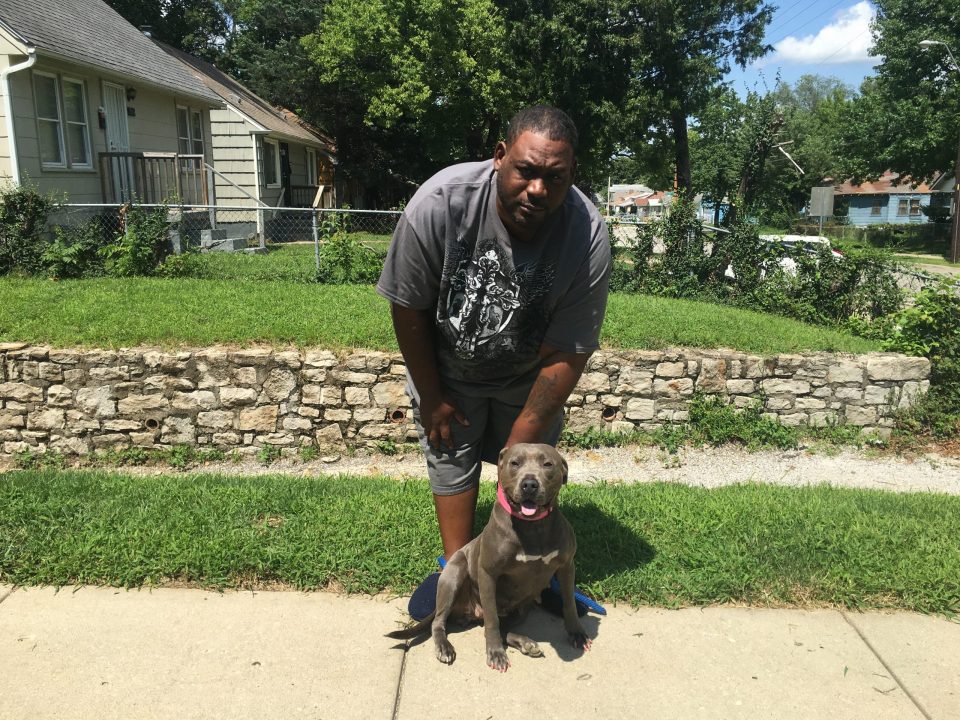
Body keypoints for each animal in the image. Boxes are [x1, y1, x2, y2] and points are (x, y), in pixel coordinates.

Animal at [386, 442, 588, 672]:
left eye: (547, 464)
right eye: (514, 463)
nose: (529, 484)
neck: (532, 527)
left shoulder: (566, 566)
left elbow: (569, 603)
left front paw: (576, 631)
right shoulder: (488, 574)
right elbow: (492, 621)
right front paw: (495, 653)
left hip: (522, 607)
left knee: (505, 627)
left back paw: (525, 642)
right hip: (454, 576)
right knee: (440, 621)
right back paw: (444, 647)